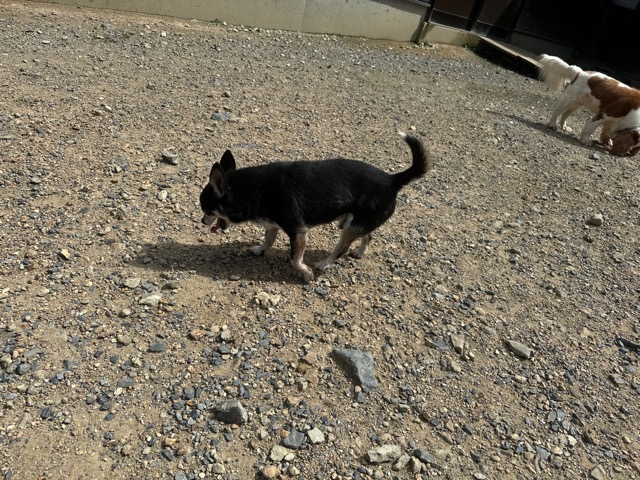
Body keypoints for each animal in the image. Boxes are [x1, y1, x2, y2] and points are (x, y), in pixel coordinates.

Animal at [199, 132, 432, 282]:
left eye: (207, 210)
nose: (202, 221)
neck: (252, 188)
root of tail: (392, 179)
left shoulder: (298, 231)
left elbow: (295, 259)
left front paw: (306, 273)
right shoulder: (273, 224)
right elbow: (269, 239)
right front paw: (259, 249)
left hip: (351, 226)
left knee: (341, 248)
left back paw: (324, 263)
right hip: (354, 221)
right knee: (368, 235)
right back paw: (359, 253)